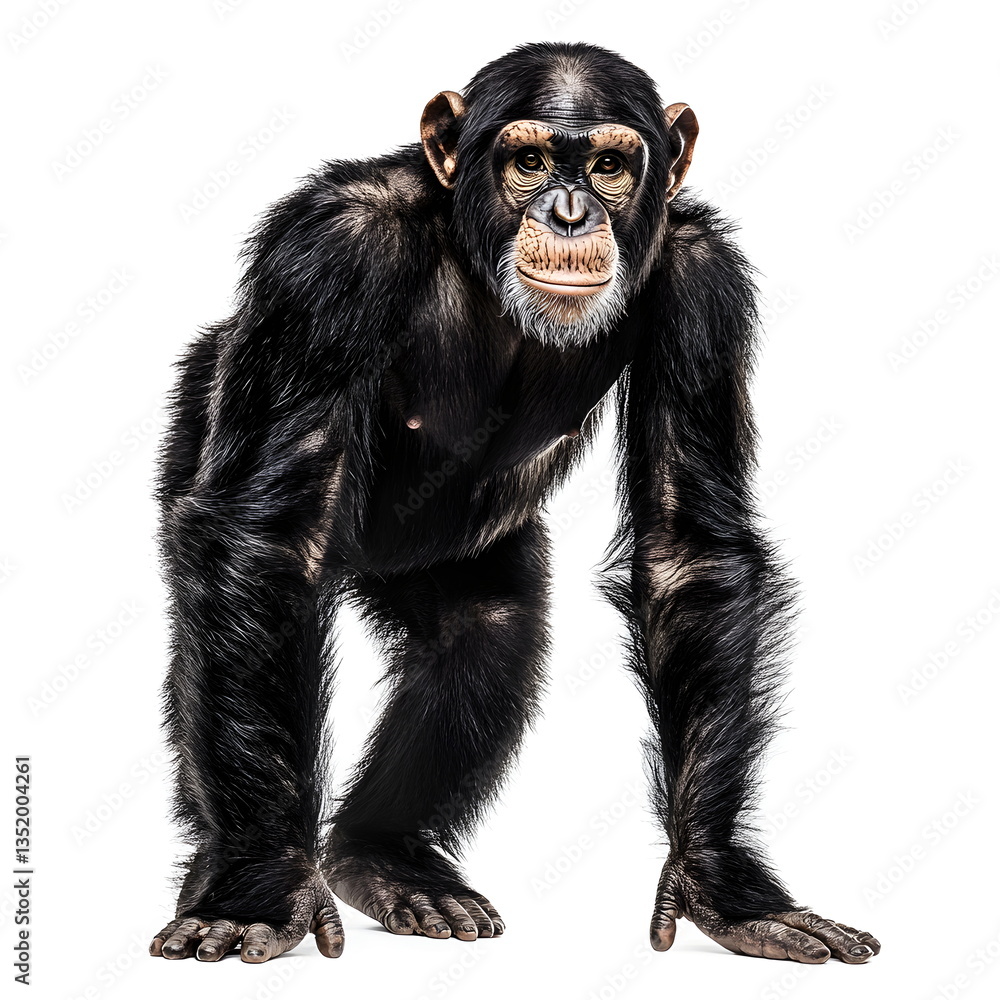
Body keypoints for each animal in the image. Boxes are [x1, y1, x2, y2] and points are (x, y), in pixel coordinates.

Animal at [149, 41, 881, 966]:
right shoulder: (327, 254)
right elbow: (267, 538)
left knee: (486, 639)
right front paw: (257, 888)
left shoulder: (704, 282)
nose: (569, 213)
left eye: (609, 167)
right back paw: (232, 861)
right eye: (528, 161)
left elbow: (689, 548)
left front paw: (722, 880)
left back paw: (382, 859)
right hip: (195, 417)